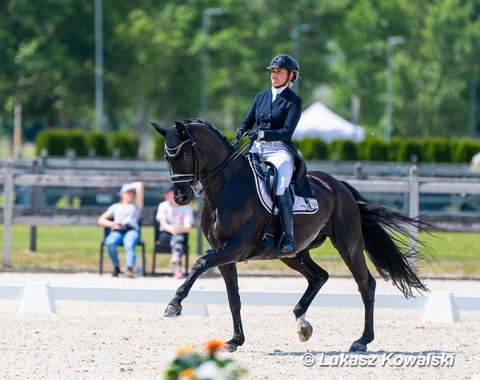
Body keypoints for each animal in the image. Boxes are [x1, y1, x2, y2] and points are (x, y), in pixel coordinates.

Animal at [154, 119, 432, 354]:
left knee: (366, 285)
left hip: (348, 245)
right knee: (319, 276)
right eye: (167, 157)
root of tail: (339, 186)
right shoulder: (223, 253)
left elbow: (200, 263)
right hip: (293, 253)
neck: (226, 188)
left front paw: (174, 304)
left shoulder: (236, 248)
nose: (181, 198)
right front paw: (235, 340)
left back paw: (362, 340)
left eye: (184, 154)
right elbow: (233, 297)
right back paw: (303, 324)